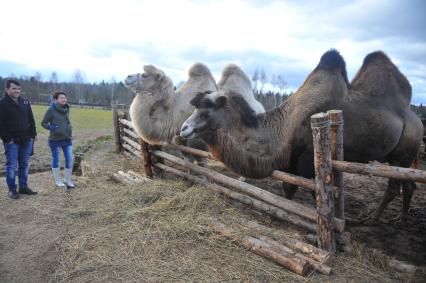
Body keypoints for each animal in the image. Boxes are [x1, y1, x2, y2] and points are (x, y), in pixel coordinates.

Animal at [181, 50, 422, 224]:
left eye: (206, 109)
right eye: (196, 107)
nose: (184, 128)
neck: (284, 128)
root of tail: (416, 120)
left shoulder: (308, 164)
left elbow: (309, 195)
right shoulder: (290, 164)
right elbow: (287, 190)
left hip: (402, 153)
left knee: (393, 187)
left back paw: (373, 219)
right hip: (399, 157)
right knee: (408, 185)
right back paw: (401, 219)